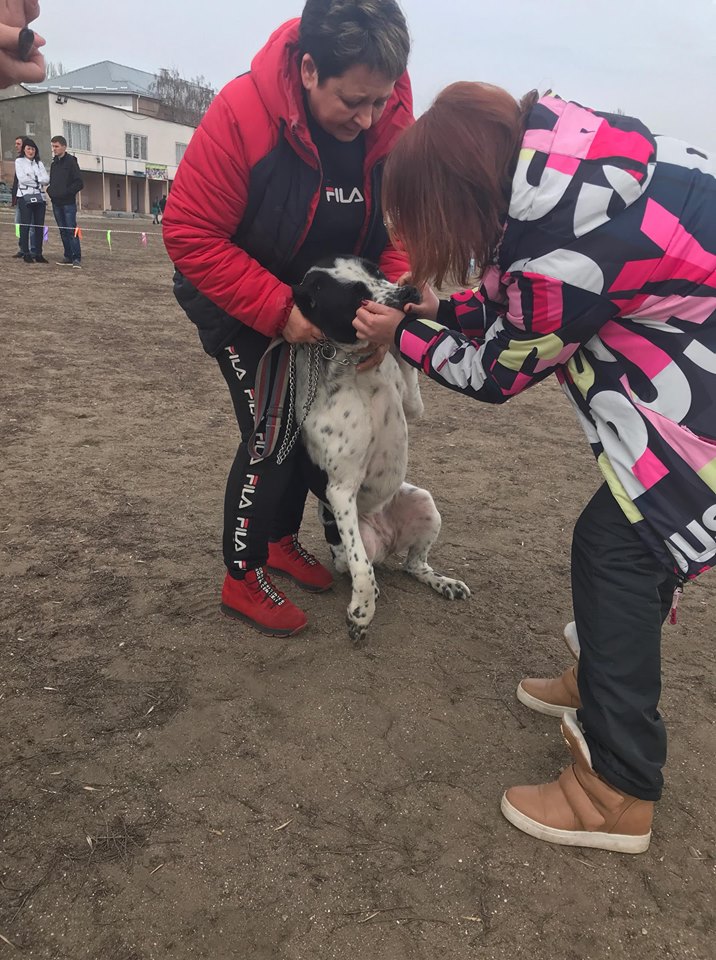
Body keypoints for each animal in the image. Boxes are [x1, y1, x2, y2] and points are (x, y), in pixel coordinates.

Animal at [292, 256, 470, 646]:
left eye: (376, 271)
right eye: (356, 297)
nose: (411, 291)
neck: (357, 374)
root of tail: (388, 542)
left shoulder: (413, 404)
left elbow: (406, 365)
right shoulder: (340, 490)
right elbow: (361, 568)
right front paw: (361, 613)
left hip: (424, 503)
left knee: (414, 565)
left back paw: (444, 582)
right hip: (350, 541)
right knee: (366, 565)